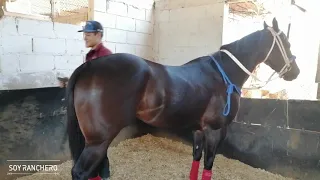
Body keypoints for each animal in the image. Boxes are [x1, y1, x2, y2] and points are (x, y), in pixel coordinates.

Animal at [65, 17, 300, 180]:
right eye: (287, 43)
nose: (295, 72)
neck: (223, 73)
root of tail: (89, 67)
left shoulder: (198, 130)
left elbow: (195, 161)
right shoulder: (215, 131)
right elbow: (208, 165)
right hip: (98, 141)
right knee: (81, 171)